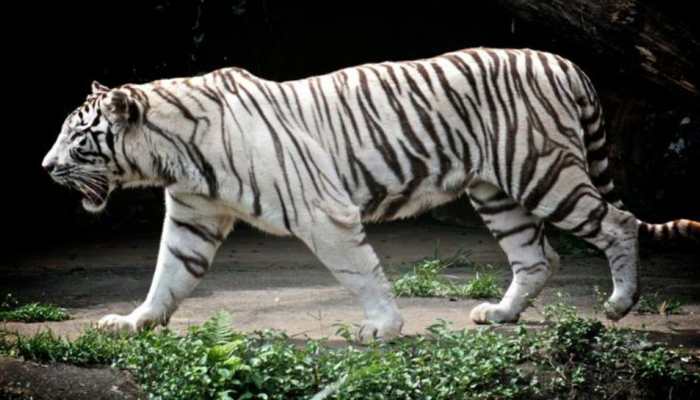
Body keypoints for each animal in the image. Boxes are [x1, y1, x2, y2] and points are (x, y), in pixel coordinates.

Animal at [42, 48, 699, 342]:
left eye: (78, 138)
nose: (45, 167)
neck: (171, 153)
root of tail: (564, 61)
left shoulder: (323, 212)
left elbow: (360, 272)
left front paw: (381, 328)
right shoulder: (193, 217)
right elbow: (168, 274)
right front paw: (134, 321)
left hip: (543, 172)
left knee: (616, 222)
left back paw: (619, 304)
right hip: (497, 192)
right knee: (539, 258)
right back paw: (500, 314)